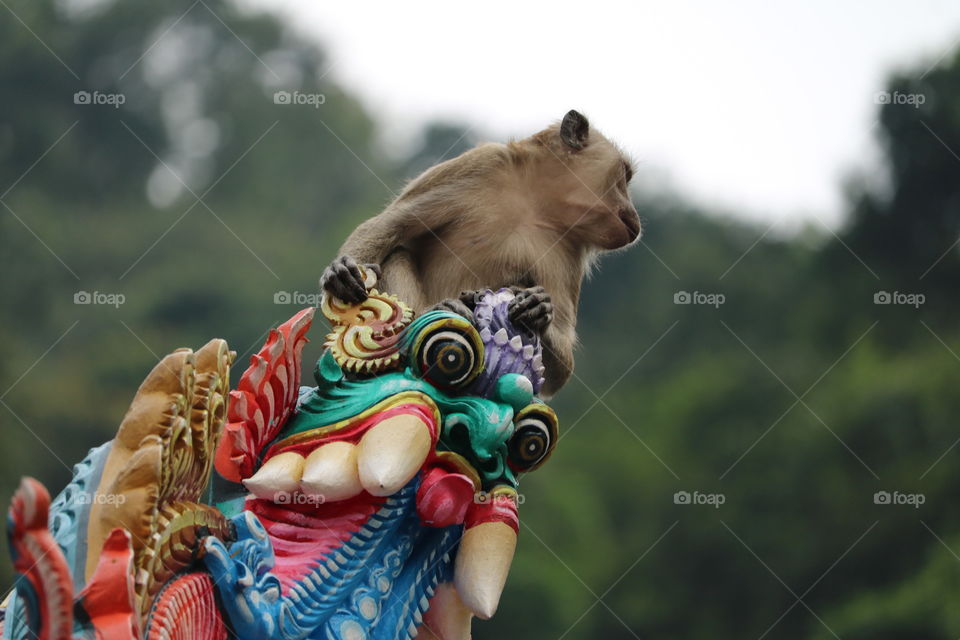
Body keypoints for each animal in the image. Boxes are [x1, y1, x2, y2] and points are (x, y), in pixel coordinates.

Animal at [321, 110, 640, 398]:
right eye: (624, 175)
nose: (635, 217)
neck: (535, 202)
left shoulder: (569, 250)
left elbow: (559, 371)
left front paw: (539, 308)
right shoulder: (480, 165)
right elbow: (387, 226)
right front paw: (341, 274)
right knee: (395, 254)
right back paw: (441, 309)